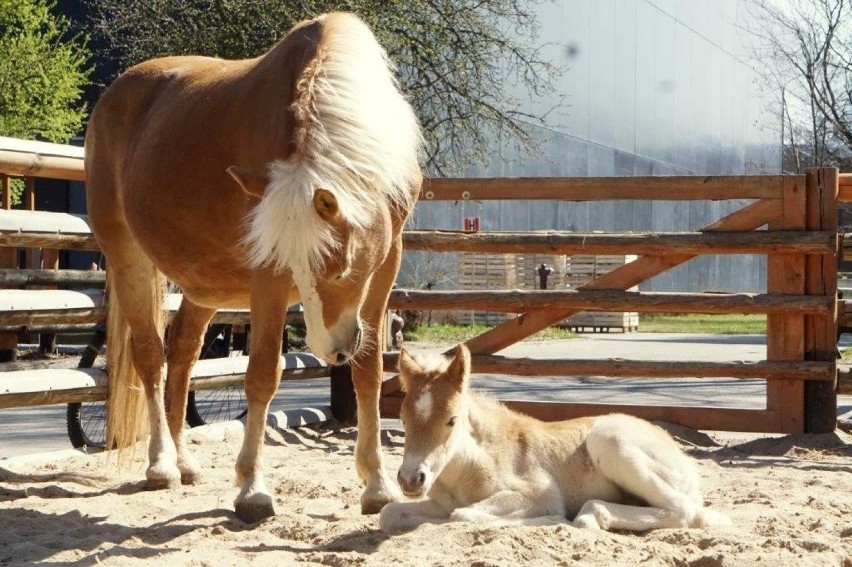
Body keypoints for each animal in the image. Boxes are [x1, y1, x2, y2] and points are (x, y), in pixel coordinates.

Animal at [83, 11, 422, 524]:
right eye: (297, 266)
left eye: (341, 265)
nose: (331, 350)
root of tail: (113, 96)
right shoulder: (269, 273)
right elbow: (262, 374)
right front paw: (252, 489)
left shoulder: (386, 263)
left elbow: (368, 370)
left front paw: (377, 485)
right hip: (127, 257)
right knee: (151, 357)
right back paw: (162, 465)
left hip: (203, 285)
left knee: (183, 357)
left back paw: (185, 461)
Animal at [382, 344, 732, 536]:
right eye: (403, 419)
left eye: (452, 420)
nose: (411, 479)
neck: (467, 466)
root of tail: (684, 459)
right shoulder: (440, 503)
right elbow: (390, 514)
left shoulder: (540, 492)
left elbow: (463, 515)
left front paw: (549, 520)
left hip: (609, 438)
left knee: (686, 511)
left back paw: (588, 517)